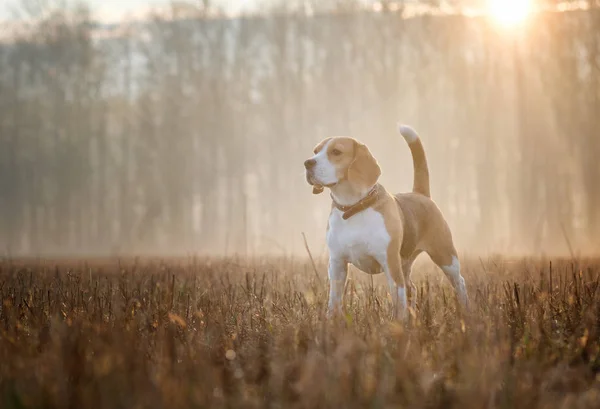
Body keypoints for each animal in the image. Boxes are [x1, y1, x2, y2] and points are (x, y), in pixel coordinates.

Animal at [304, 124, 468, 318]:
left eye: (336, 152)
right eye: (315, 151)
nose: (307, 163)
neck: (354, 208)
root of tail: (420, 194)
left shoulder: (390, 264)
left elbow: (398, 304)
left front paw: (398, 323)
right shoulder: (337, 264)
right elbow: (334, 302)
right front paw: (330, 321)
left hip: (445, 257)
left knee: (459, 282)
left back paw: (467, 312)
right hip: (406, 263)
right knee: (412, 288)